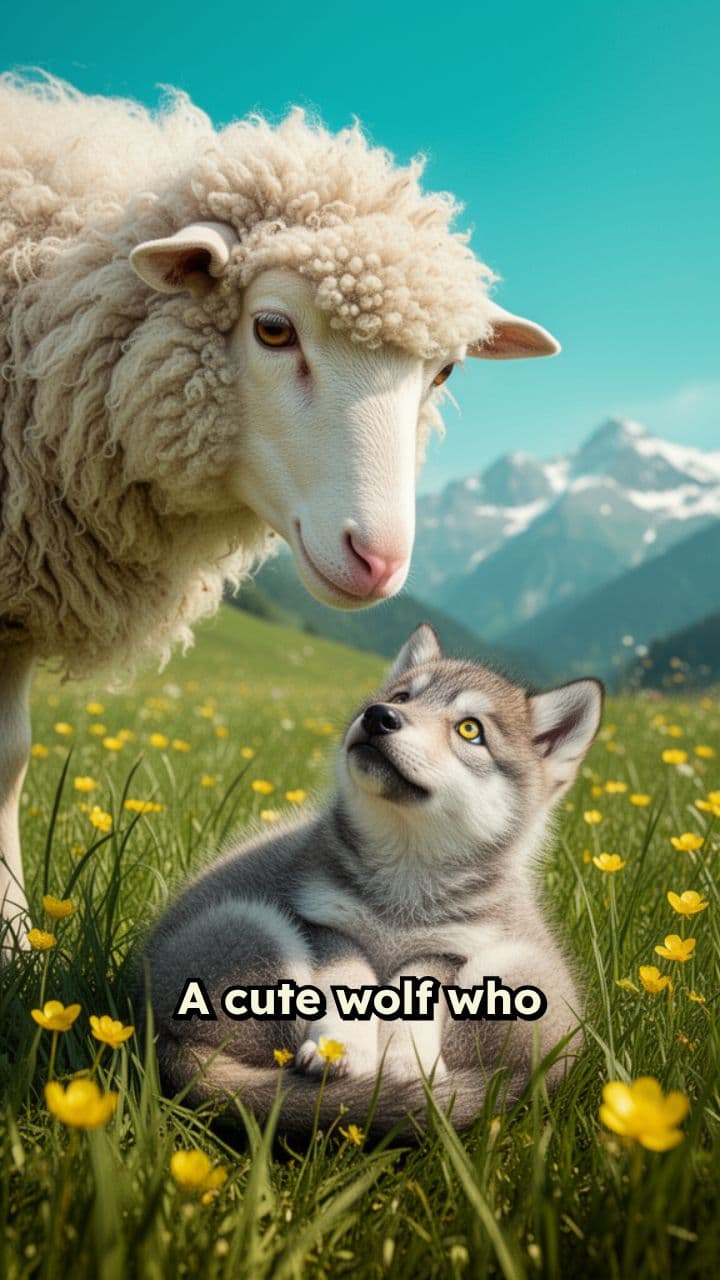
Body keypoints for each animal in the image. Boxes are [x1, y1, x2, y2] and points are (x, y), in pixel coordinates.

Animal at [141, 625, 602, 1137]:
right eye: (402, 697)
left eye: (470, 730)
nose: (380, 715)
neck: (403, 885)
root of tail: (166, 1039)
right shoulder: (328, 923)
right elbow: (349, 978)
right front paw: (341, 1046)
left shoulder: (446, 949)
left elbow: (415, 991)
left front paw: (406, 1062)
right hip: (255, 931)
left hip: (513, 970)